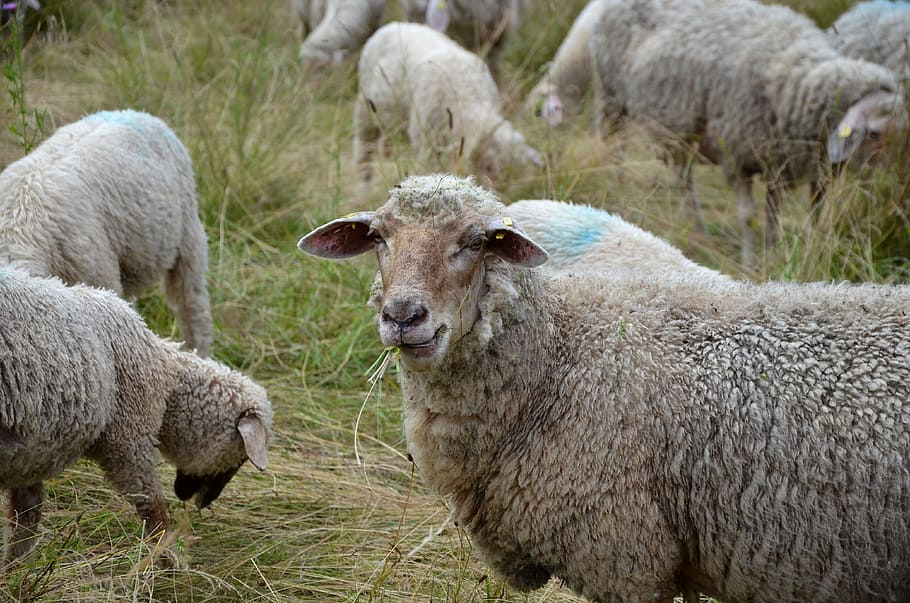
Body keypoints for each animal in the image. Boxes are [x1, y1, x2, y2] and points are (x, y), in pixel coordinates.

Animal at [0, 268, 271, 563]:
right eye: (241, 456)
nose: (201, 502)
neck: (166, 378)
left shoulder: (31, 452)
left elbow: (27, 514)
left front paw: (16, 568)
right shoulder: (129, 440)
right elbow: (152, 507)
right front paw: (166, 561)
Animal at [355, 22, 543, 183]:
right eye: (488, 168)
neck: (467, 99)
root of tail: (394, 24)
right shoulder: (425, 143)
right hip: (366, 110)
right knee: (363, 151)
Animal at [589, 0, 907, 266]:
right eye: (874, 134)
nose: (893, 191)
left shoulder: (789, 163)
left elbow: (788, 213)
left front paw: (783, 250)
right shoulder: (737, 157)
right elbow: (748, 217)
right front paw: (750, 261)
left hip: (680, 133)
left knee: (683, 179)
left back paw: (697, 229)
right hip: (612, 99)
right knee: (614, 146)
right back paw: (615, 184)